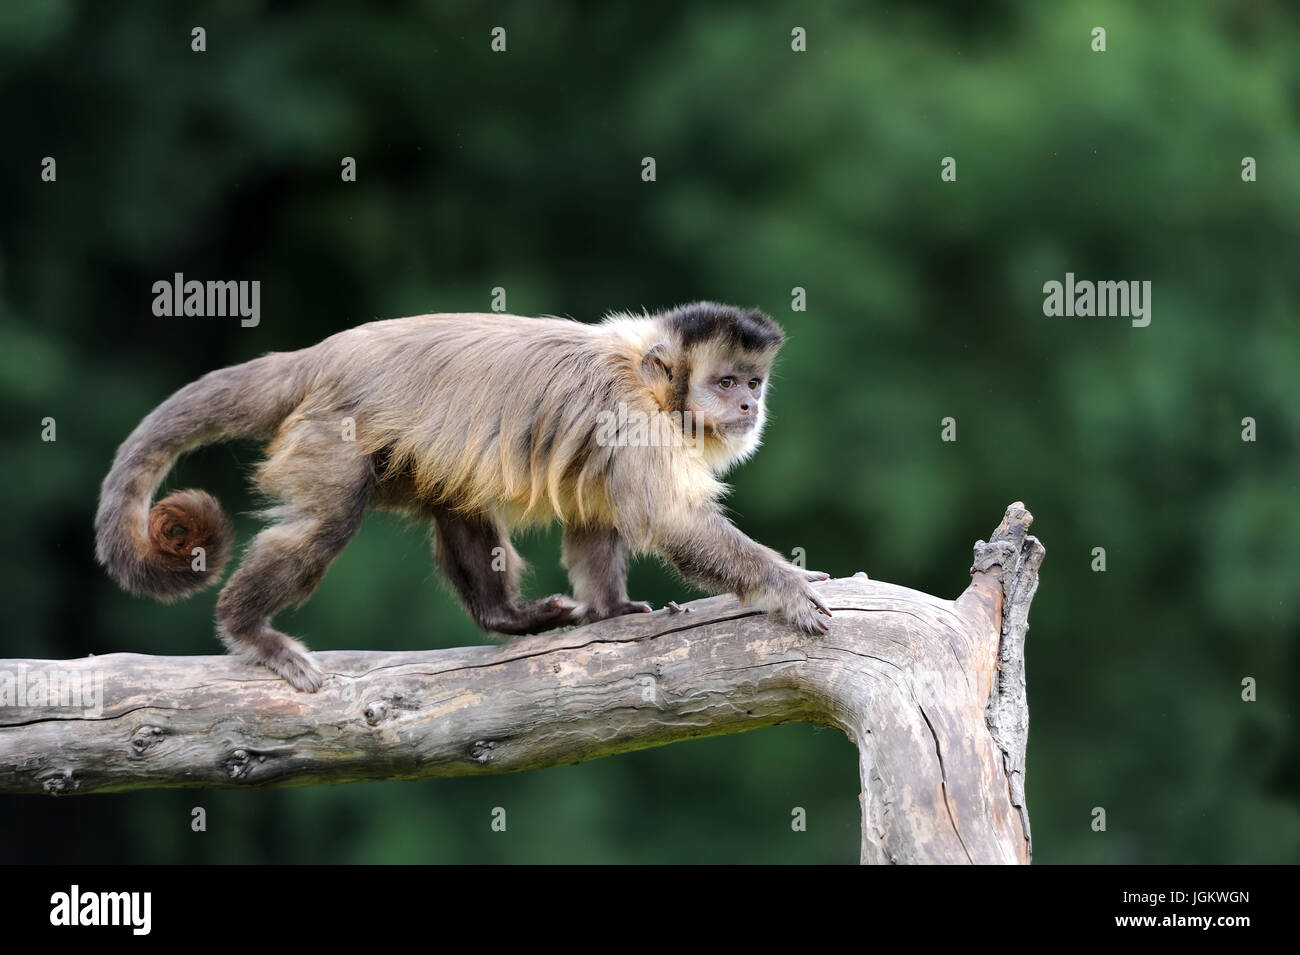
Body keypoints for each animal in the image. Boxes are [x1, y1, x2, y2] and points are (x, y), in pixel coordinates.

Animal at [96, 302, 826, 691]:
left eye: (753, 382)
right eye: (726, 381)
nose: (748, 404)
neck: (651, 381)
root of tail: (321, 355)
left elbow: (596, 516)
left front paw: (611, 610)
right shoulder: (635, 420)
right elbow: (672, 520)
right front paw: (783, 585)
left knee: (456, 499)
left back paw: (507, 619)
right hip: (330, 428)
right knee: (326, 522)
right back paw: (248, 629)